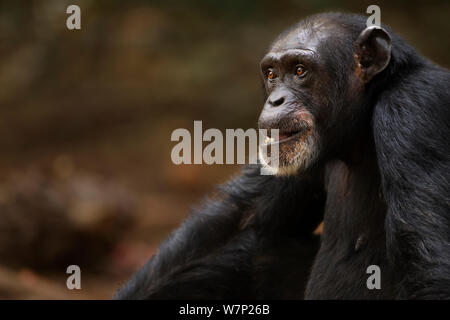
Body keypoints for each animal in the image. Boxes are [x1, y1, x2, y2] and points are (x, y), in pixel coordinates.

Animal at [116, 13, 450, 300]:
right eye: (272, 74)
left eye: (300, 70)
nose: (275, 99)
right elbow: (244, 218)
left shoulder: (414, 110)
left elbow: (425, 260)